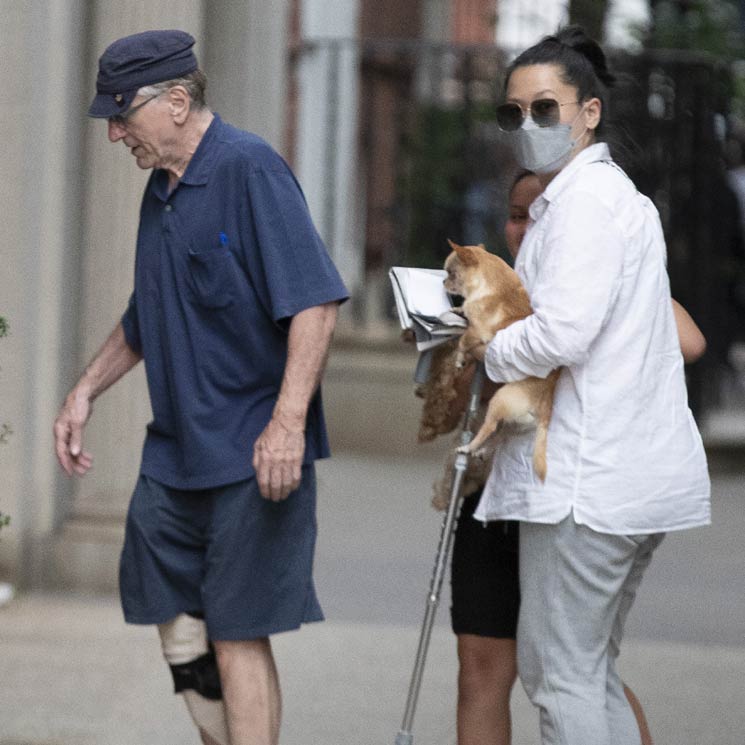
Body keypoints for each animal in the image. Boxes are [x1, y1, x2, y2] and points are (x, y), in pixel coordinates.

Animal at [442, 241, 560, 480]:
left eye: (451, 273)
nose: (443, 281)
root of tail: (545, 405)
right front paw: (458, 308)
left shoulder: (477, 333)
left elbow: (463, 341)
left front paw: (459, 359)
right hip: (513, 420)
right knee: (499, 434)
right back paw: (482, 450)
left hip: (500, 400)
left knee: (489, 428)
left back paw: (469, 447)